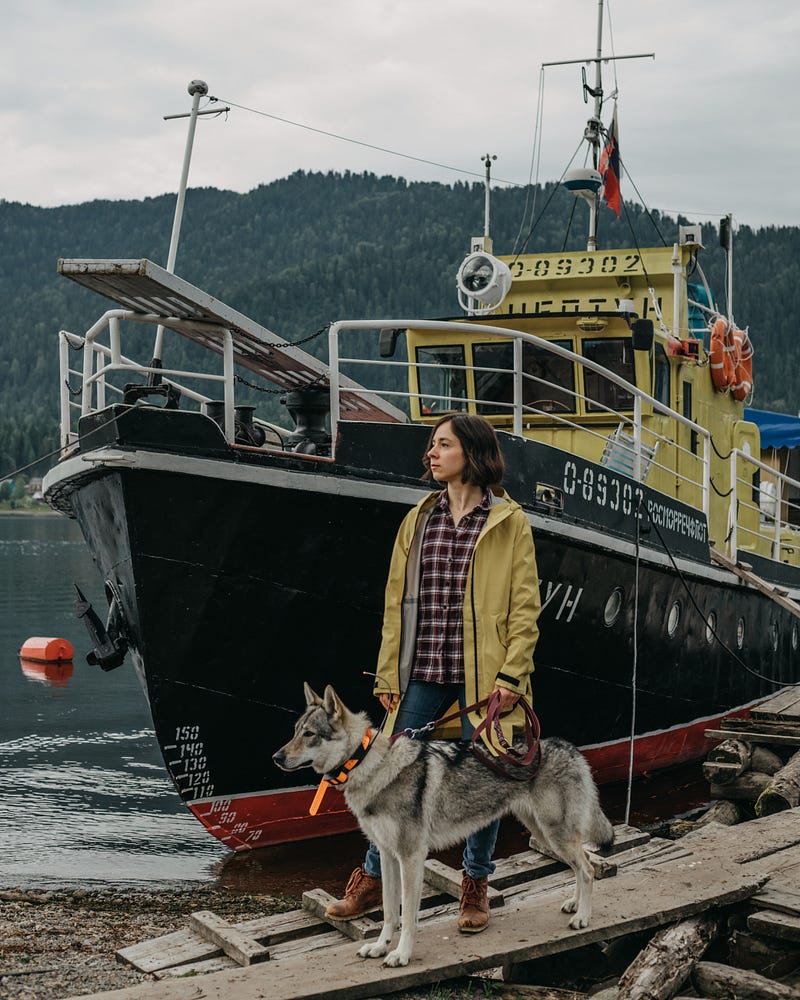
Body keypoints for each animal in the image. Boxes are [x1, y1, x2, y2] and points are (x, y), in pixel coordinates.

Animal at [274, 684, 612, 964]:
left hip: (555, 833)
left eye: (309, 734)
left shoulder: (411, 856)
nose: (276, 757)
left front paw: (401, 955)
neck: (372, 765)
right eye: (294, 731)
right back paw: (574, 904)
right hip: (546, 833)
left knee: (588, 869)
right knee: (581, 864)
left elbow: (408, 916)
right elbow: (388, 911)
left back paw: (582, 918)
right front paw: (381, 947)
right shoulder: (386, 854)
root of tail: (569, 747)